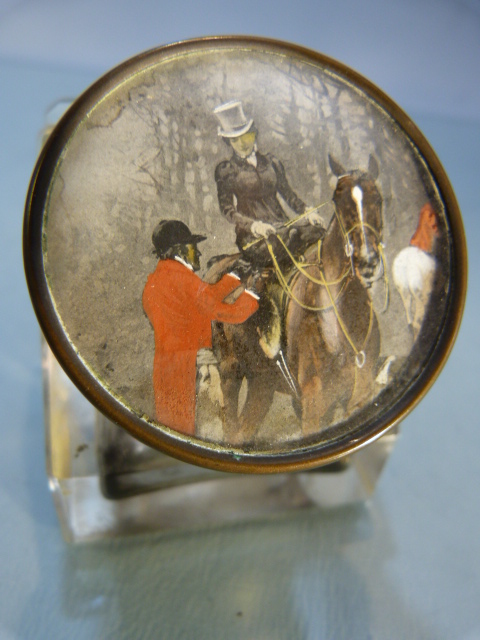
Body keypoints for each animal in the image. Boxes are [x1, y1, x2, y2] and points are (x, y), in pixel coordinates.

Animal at [208, 155, 384, 444]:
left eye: (377, 199)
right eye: (339, 200)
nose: (367, 260)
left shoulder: (357, 394)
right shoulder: (314, 399)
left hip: (262, 384)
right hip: (230, 372)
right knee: (232, 427)